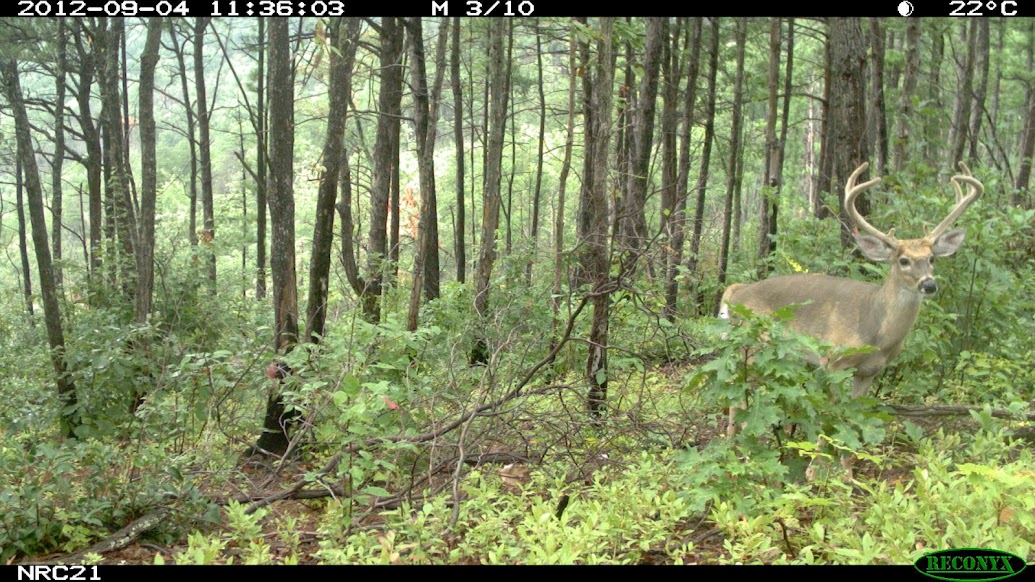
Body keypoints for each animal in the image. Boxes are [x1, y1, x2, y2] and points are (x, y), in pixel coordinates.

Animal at [724, 163, 981, 443]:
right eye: (903, 260)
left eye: (932, 258)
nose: (929, 285)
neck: (878, 333)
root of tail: (736, 291)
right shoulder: (832, 361)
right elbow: (830, 418)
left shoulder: (869, 371)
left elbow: (855, 420)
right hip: (752, 346)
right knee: (738, 397)